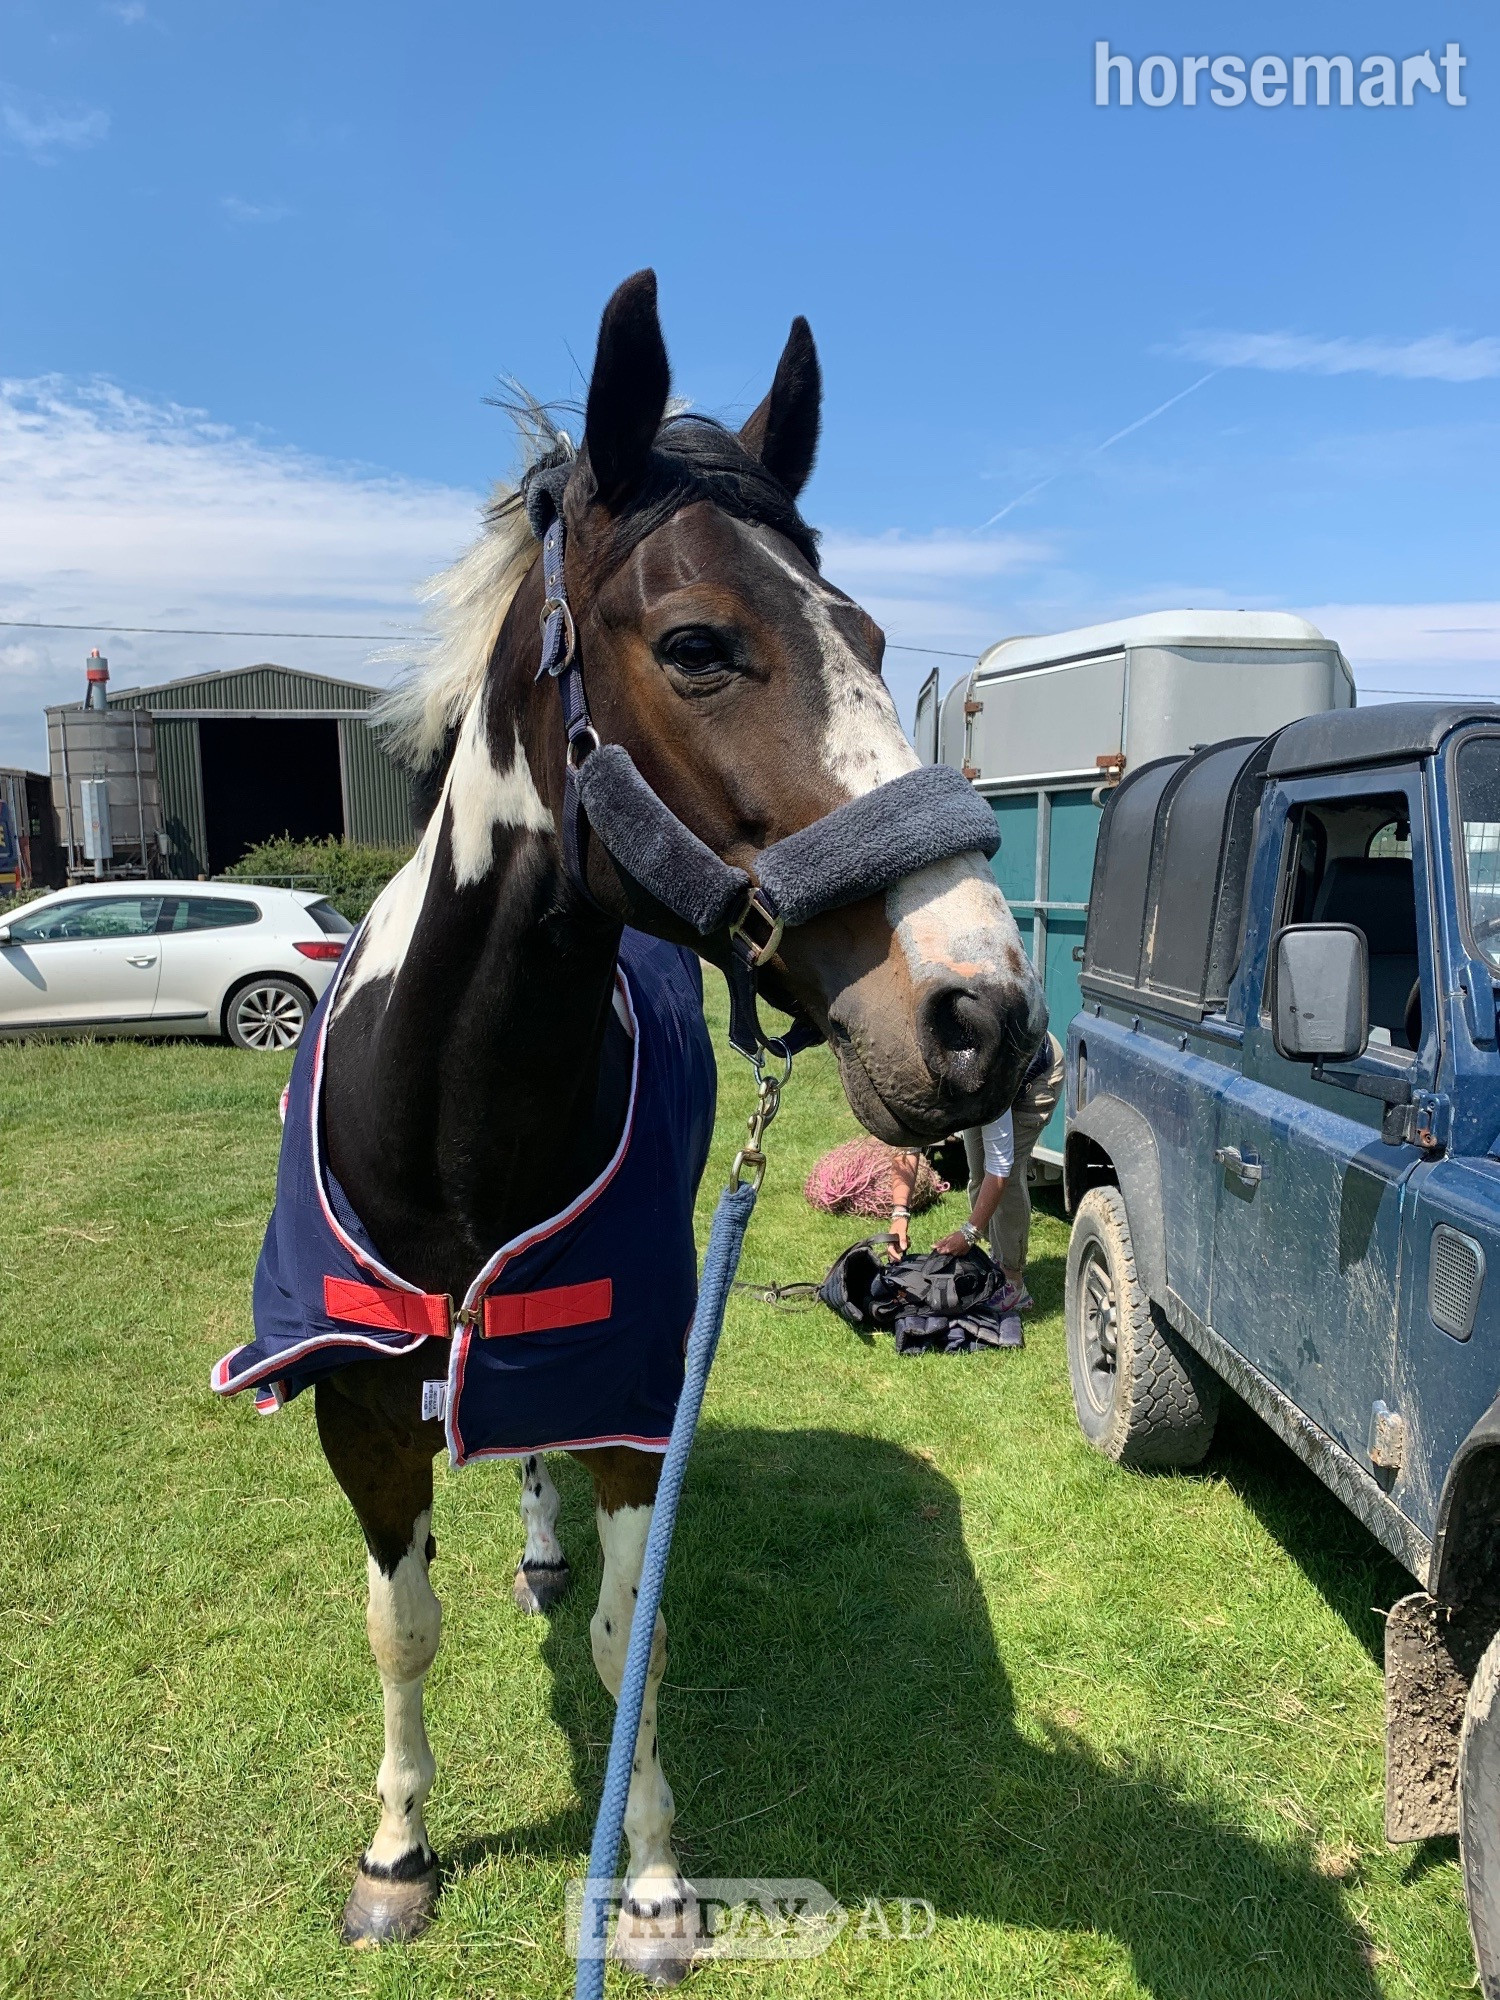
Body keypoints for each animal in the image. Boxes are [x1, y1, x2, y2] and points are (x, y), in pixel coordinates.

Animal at [214, 269, 1045, 1983]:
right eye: (698, 643)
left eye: (873, 640)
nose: (984, 1015)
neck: (449, 1117)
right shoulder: (355, 1403)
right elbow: (400, 1624)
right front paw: (397, 1854)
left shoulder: (615, 1388)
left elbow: (628, 1627)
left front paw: (650, 1882)